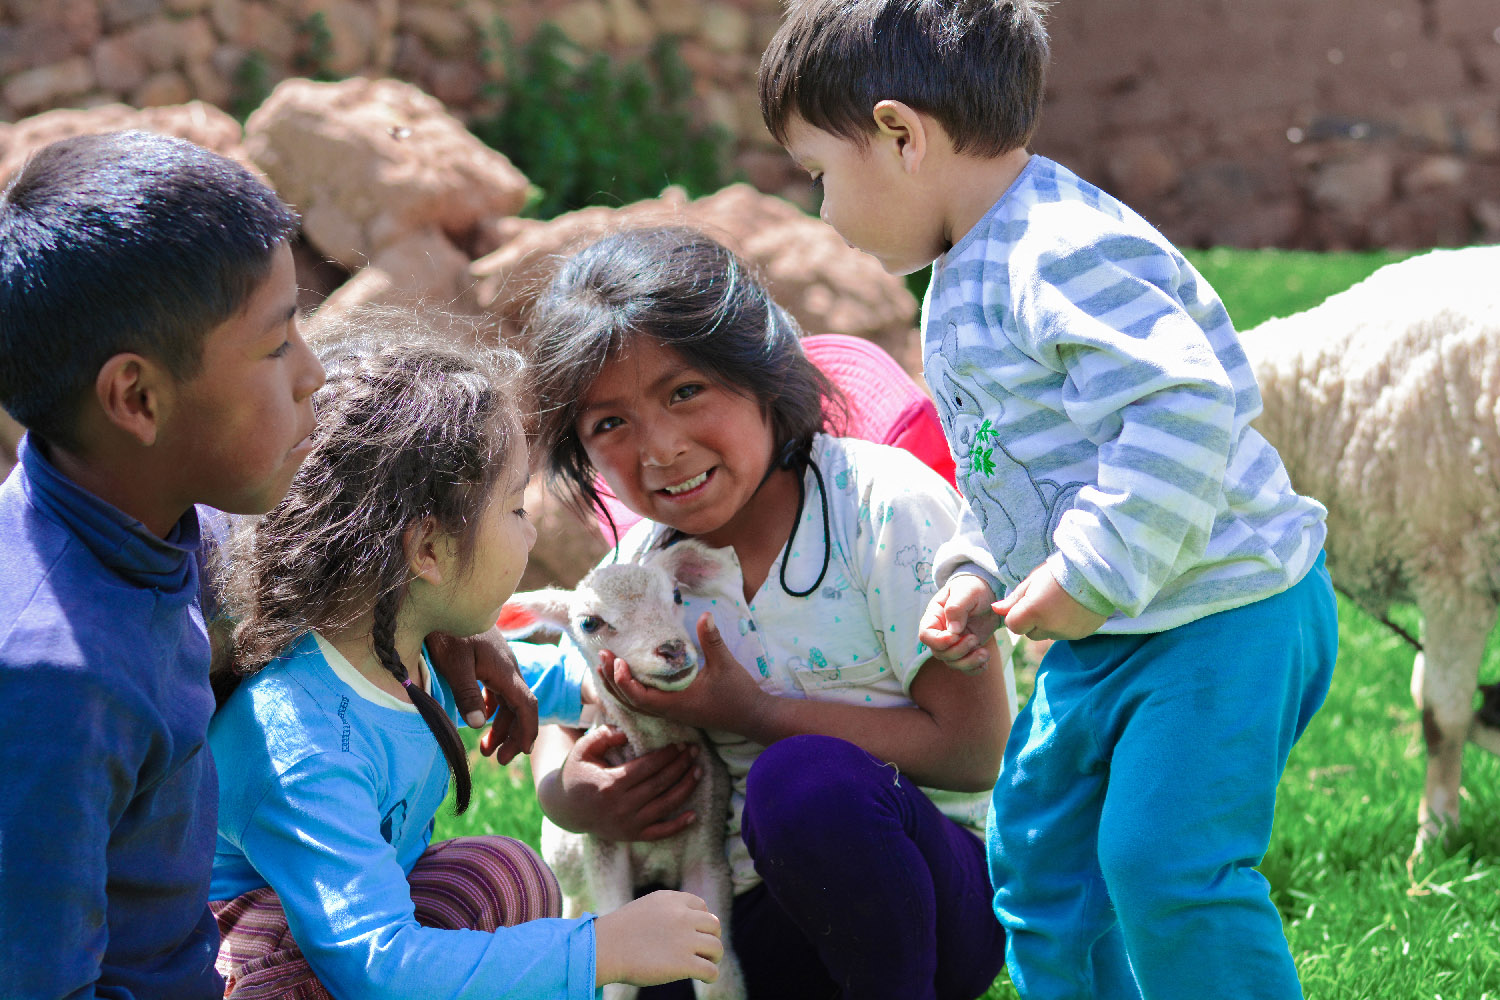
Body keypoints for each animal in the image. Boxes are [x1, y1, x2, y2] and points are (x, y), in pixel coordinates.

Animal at [507, 539, 747, 1000]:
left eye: (677, 595)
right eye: (589, 622)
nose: (671, 649)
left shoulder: (708, 850)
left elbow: (720, 975)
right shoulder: (605, 852)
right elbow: (618, 971)